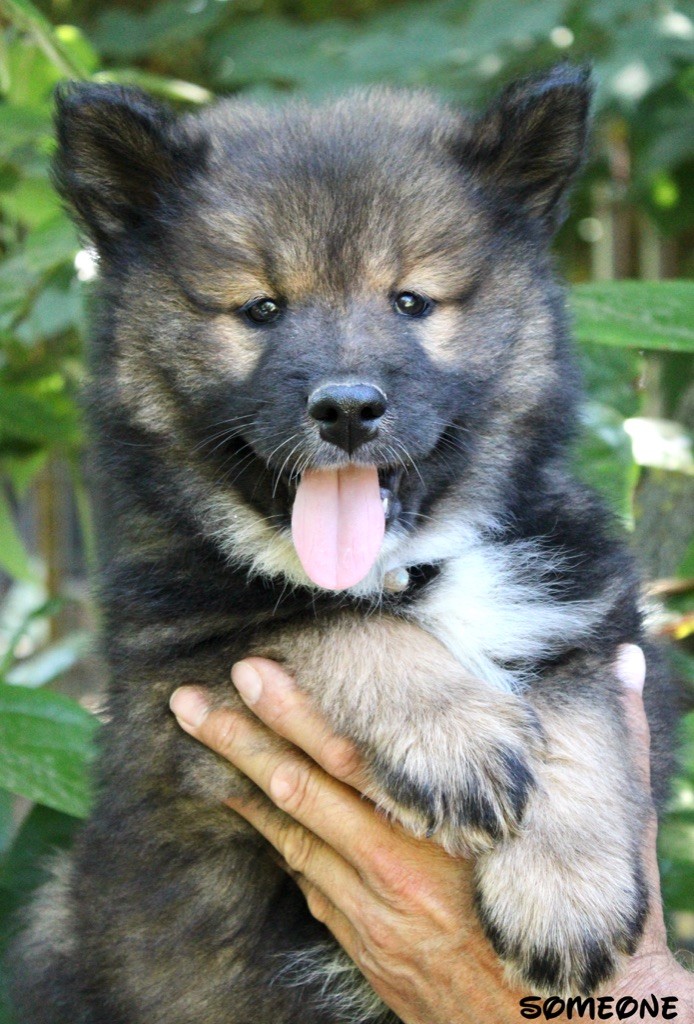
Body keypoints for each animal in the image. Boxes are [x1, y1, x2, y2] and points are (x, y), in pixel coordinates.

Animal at [11, 65, 676, 1024]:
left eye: (411, 302)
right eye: (261, 308)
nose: (348, 408)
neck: (407, 571)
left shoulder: (601, 628)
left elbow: (581, 715)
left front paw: (565, 891)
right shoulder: (180, 692)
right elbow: (320, 620)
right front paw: (453, 734)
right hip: (58, 922)